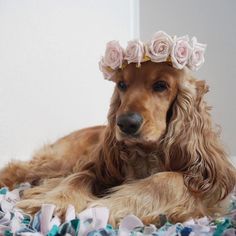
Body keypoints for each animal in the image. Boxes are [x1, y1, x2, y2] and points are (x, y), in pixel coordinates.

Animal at [0, 60, 236, 225]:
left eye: (161, 85)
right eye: (122, 84)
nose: (125, 123)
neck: (147, 153)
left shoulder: (204, 191)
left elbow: (166, 180)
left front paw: (104, 207)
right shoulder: (99, 166)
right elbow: (79, 177)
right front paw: (52, 202)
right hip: (59, 161)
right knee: (18, 168)